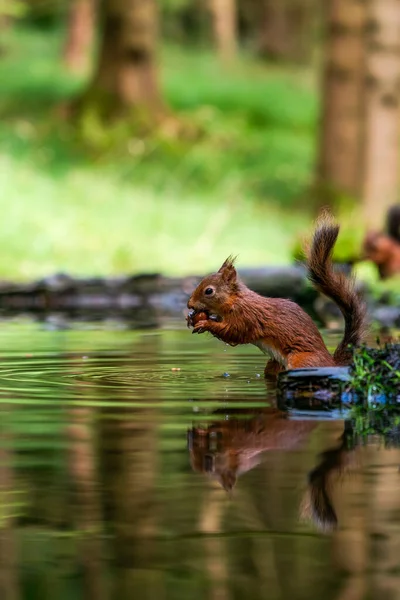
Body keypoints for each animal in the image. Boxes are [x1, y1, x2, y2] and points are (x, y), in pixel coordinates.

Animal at [186, 214, 368, 376]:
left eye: (209, 291)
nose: (190, 305)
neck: (235, 301)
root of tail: (332, 363)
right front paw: (193, 319)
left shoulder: (247, 318)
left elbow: (233, 333)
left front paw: (205, 323)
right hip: (274, 365)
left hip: (301, 361)